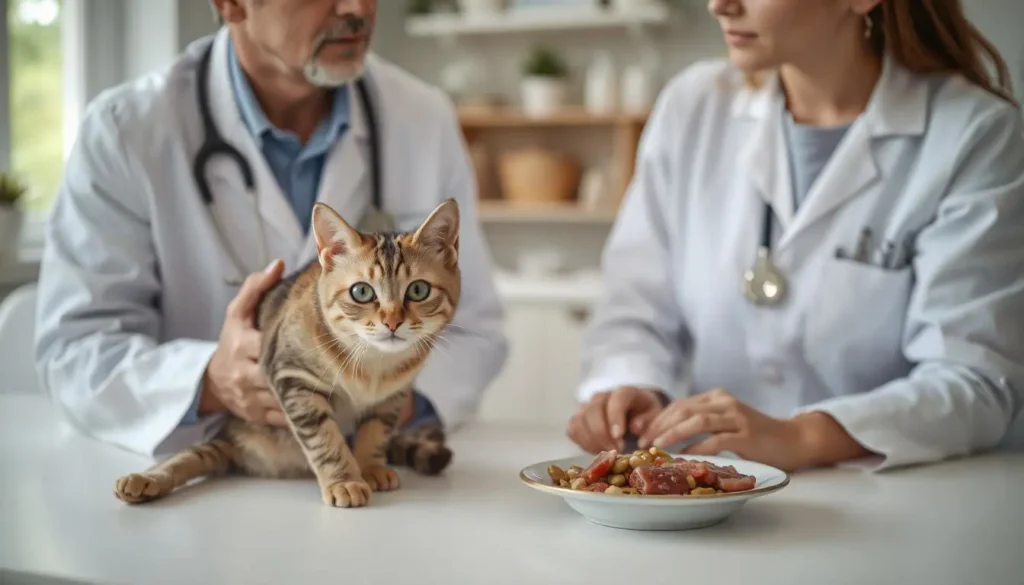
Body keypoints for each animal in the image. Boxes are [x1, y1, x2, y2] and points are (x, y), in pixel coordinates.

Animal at [113, 197, 460, 508]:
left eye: (418, 290)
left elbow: (376, 432)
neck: (373, 364)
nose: (392, 321)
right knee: (187, 456)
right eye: (362, 292)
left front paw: (370, 466)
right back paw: (143, 480)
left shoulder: (393, 396)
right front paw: (345, 480)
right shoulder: (293, 377)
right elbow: (324, 438)